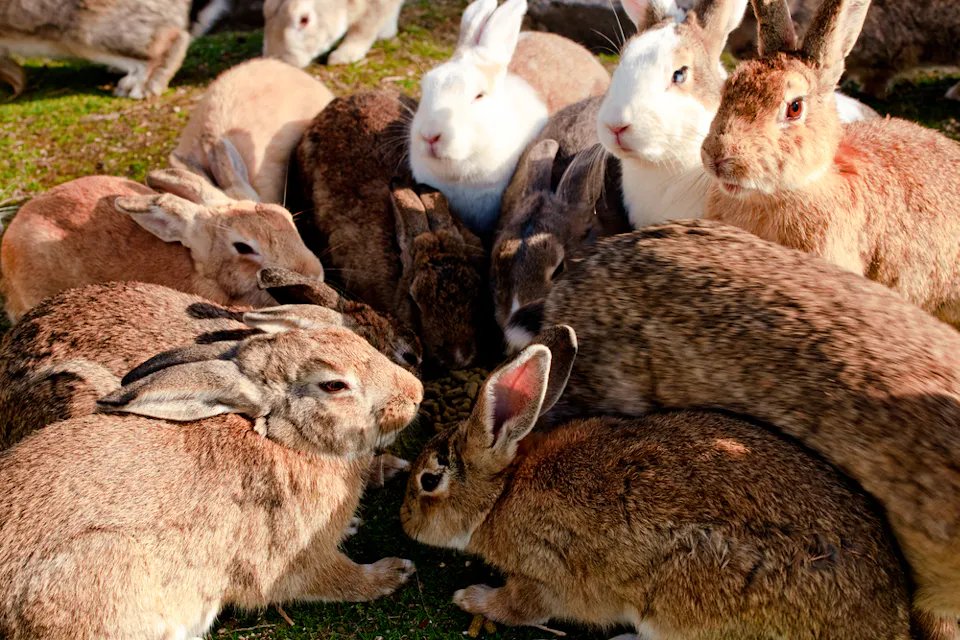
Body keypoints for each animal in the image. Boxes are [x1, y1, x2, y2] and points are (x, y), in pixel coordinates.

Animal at [0, 323, 423, 640]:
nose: (415, 394)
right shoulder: (294, 560)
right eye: (334, 385)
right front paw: (393, 572)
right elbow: (340, 580)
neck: (284, 440)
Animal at [402, 326, 923, 639]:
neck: (501, 493)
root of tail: (890, 624)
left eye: (429, 479)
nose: (405, 521)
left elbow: (523, 607)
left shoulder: (544, 572)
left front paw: (472, 599)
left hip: (687, 605)